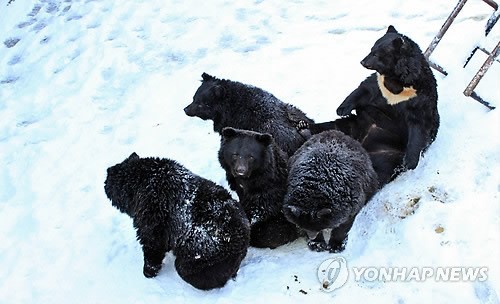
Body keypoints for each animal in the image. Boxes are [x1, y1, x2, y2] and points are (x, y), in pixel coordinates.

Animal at [306, 26, 440, 186]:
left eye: (376, 54)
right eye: (371, 49)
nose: (362, 61)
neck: (398, 82)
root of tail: (363, 144)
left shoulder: (419, 96)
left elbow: (419, 123)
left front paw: (410, 162)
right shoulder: (380, 85)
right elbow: (364, 89)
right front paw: (342, 109)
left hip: (389, 154)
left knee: (381, 167)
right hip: (354, 125)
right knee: (335, 126)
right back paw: (304, 126)